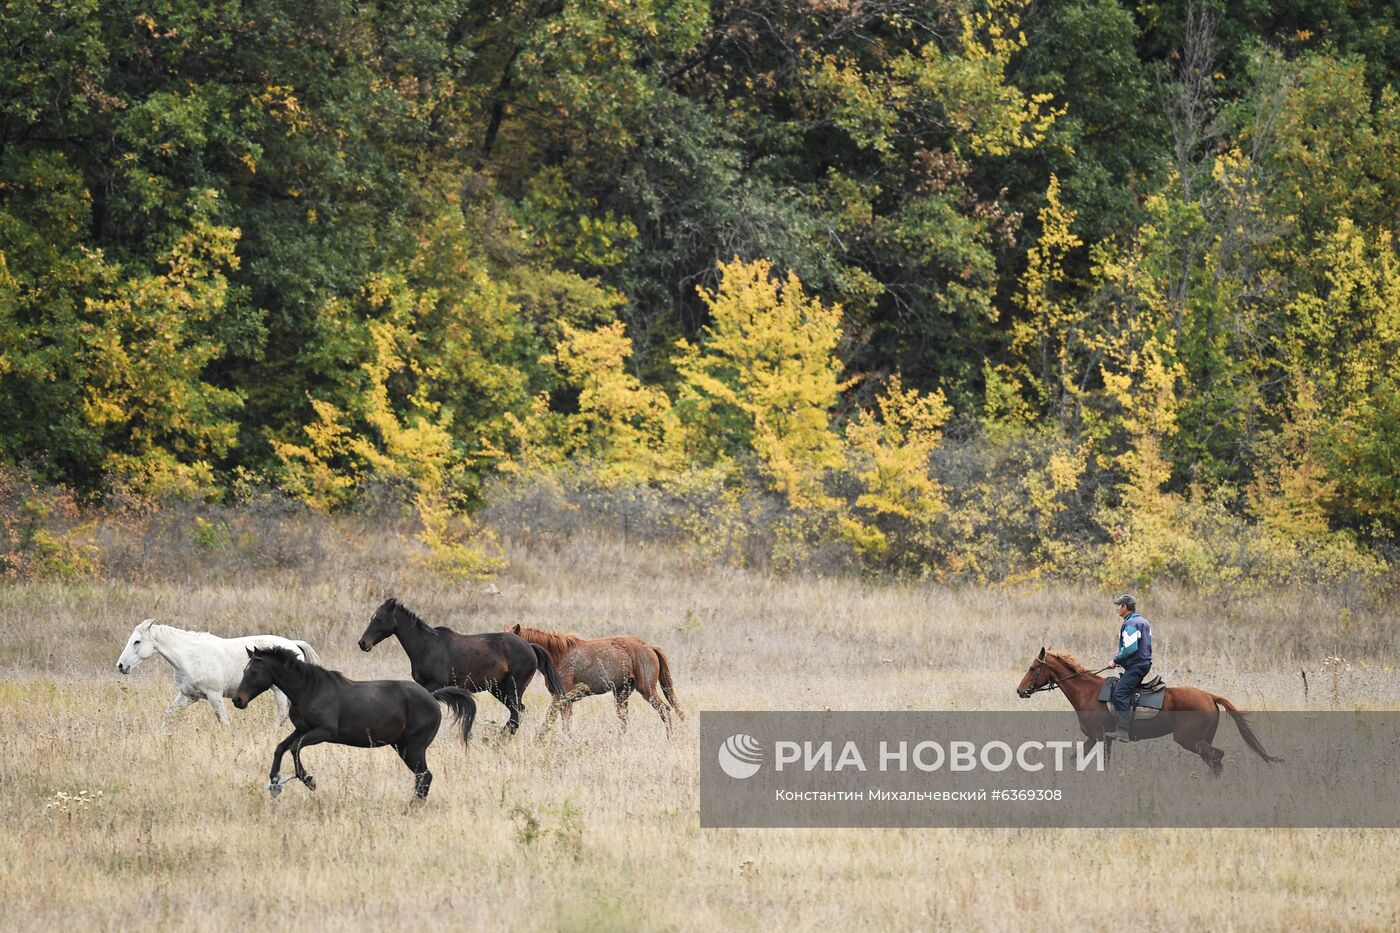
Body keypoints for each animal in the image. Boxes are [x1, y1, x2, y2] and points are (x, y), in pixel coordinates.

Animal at [114, 616, 322, 728]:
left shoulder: (215, 695)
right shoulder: (188, 696)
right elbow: (169, 715)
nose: (121, 666)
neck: (189, 657)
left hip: (279, 690)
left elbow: (224, 721)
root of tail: (293, 644)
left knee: (281, 714)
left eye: (137, 641)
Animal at [232, 638, 478, 801]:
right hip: (402, 747)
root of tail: (432, 697)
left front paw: (308, 780)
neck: (309, 689)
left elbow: (294, 748)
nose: (237, 700)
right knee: (422, 778)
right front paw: (275, 783)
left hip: (414, 748)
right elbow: (281, 747)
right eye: (244, 670)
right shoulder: (301, 729)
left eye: (254, 671)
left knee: (424, 777)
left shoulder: (324, 731)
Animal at [358, 596, 565, 734]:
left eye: (380, 618)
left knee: (516, 712)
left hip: (513, 687)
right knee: (518, 711)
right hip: (498, 689)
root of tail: (530, 647)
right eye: (371, 617)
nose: (362, 643)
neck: (426, 646)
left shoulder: (436, 684)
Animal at [509, 624, 683, 734]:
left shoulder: (561, 697)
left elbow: (554, 720)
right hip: (622, 693)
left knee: (665, 710)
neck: (557, 655)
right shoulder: (560, 698)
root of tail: (648, 647)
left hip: (647, 690)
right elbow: (557, 720)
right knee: (624, 719)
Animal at [1019, 647, 1282, 767]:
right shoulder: (1097, 739)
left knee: (1215, 756)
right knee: (1214, 758)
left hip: (1189, 739)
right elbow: (1078, 758)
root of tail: (1209, 696)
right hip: (1203, 737)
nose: (1020, 691)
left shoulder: (1101, 737)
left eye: (1033, 668)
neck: (1089, 693)